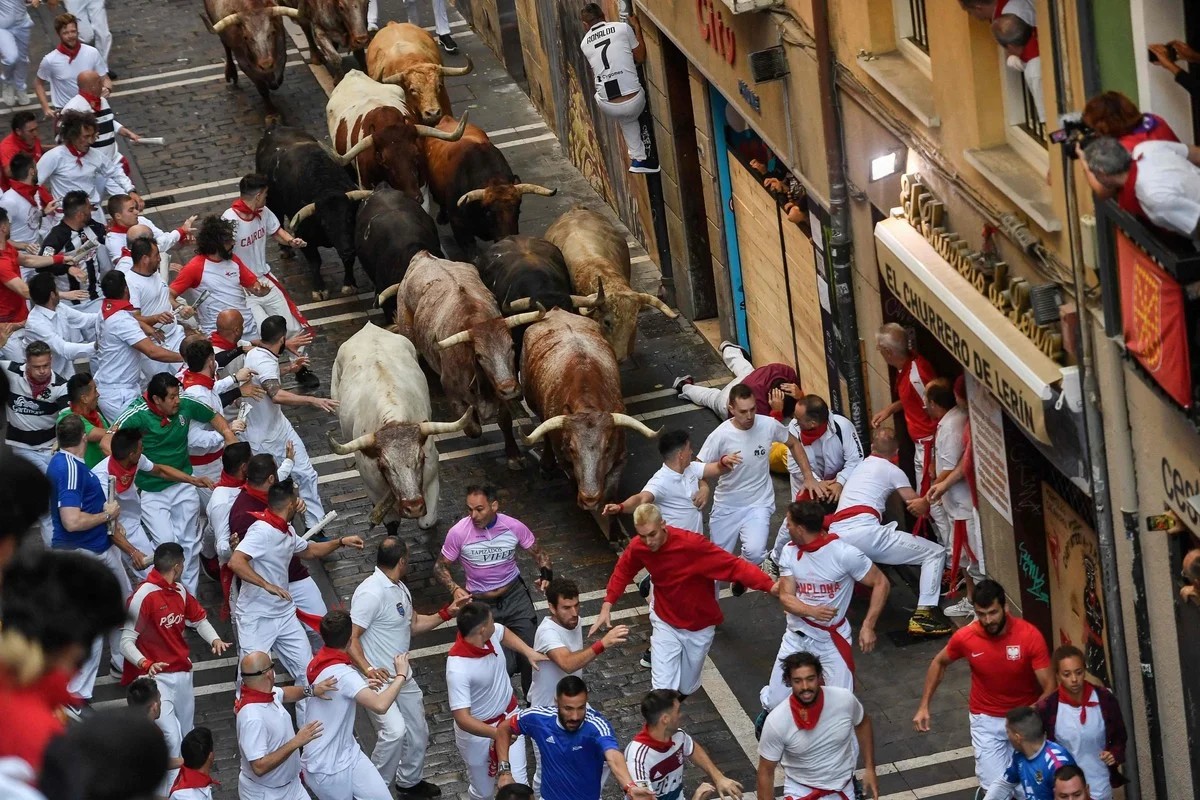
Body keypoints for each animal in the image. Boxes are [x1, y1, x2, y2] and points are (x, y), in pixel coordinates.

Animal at [523, 307, 662, 506]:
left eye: (607, 448)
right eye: (571, 449)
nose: (590, 497)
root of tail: (556, 310)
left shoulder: (620, 458)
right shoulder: (565, 461)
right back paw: (547, 465)